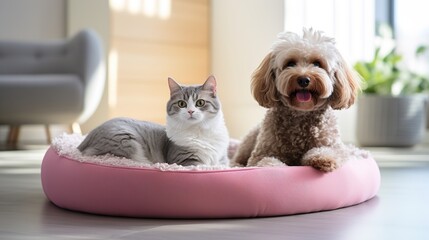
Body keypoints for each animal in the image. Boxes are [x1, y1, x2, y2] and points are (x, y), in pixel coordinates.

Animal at [78, 76, 229, 166]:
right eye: (181, 104)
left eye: (200, 102)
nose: (190, 111)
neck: (200, 131)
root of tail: (83, 143)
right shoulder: (185, 159)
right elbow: (203, 166)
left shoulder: (222, 160)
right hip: (126, 141)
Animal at [231, 28, 362, 172]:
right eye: (290, 63)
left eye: (317, 63)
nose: (304, 79)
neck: (301, 114)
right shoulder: (260, 154)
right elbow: (266, 161)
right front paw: (274, 168)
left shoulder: (337, 148)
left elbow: (326, 151)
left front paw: (324, 158)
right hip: (248, 142)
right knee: (236, 159)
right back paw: (236, 165)